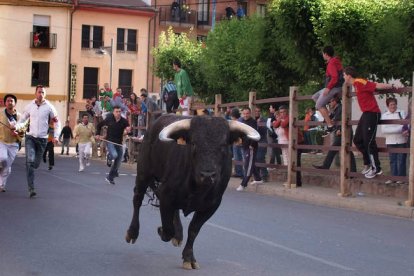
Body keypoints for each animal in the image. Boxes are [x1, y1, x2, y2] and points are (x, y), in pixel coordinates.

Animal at [125, 114, 258, 270]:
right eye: (194, 144)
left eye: (223, 145)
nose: (207, 175)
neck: (198, 188)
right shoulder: (166, 196)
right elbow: (167, 229)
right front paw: (162, 231)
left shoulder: (211, 206)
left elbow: (193, 229)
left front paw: (189, 257)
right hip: (143, 173)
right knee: (137, 199)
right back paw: (132, 233)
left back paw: (178, 235)